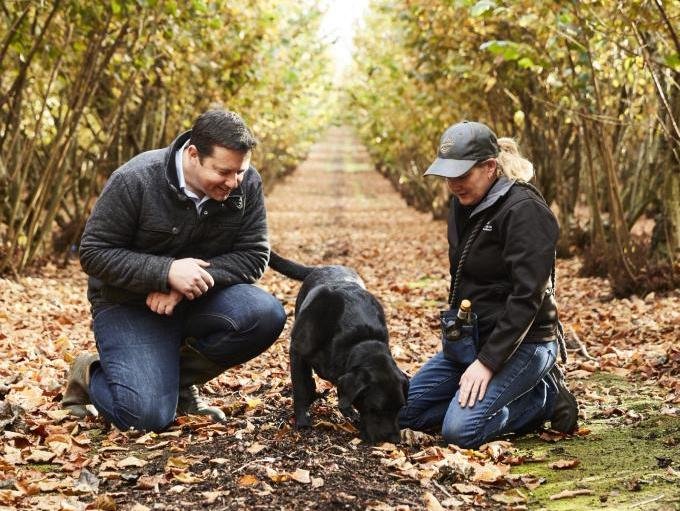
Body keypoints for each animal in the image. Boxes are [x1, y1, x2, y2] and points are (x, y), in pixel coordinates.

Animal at [268, 252, 410, 444]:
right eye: (376, 409)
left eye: (400, 407)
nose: (394, 440)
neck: (359, 339)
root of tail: (323, 267)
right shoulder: (297, 351)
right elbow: (301, 388)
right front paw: (303, 419)